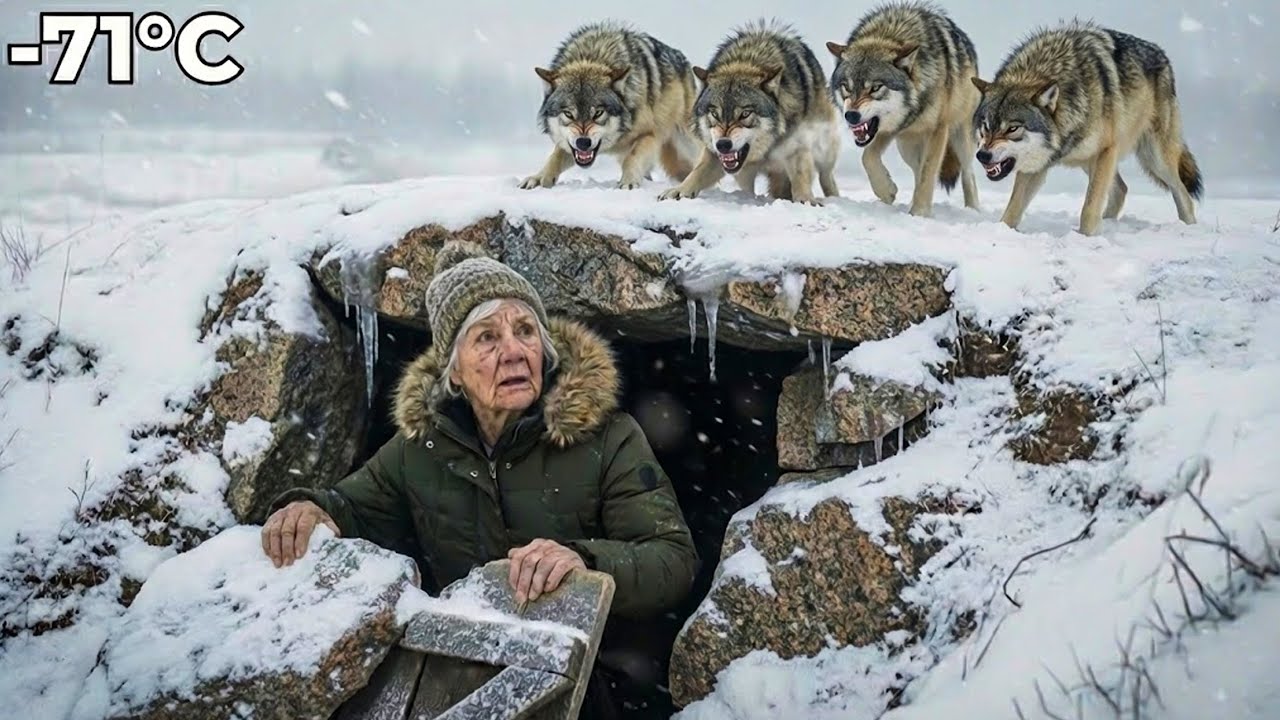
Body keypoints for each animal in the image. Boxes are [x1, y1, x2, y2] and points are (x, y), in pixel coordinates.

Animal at [519, 22, 701, 191]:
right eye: (568, 114)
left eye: (598, 113)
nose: (583, 143)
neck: (592, 56)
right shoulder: (569, 143)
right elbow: (554, 157)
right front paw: (538, 178)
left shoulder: (650, 135)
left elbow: (632, 158)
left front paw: (628, 182)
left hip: (687, 141)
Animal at [658, 20, 841, 205]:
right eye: (715, 114)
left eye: (745, 114)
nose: (723, 145)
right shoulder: (714, 154)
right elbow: (696, 172)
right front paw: (678, 191)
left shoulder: (797, 145)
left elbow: (800, 176)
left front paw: (805, 200)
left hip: (825, 147)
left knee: (826, 175)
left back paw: (834, 196)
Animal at [826, 1, 982, 216]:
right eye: (847, 87)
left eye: (875, 88)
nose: (851, 116)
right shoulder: (891, 128)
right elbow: (868, 157)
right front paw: (887, 191)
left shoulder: (938, 130)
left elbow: (928, 172)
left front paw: (920, 213)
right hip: (907, 147)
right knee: (917, 171)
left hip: (961, 139)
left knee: (968, 172)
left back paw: (973, 210)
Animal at [971, 21, 1204, 236]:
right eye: (986, 126)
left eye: (1012, 129)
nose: (982, 155)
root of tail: (1162, 54)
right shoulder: (1038, 164)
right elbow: (1012, 210)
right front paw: (1001, 232)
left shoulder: (1106, 151)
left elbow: (1089, 208)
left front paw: (1085, 237)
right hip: (1091, 162)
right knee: (1121, 190)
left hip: (1153, 159)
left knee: (1183, 195)